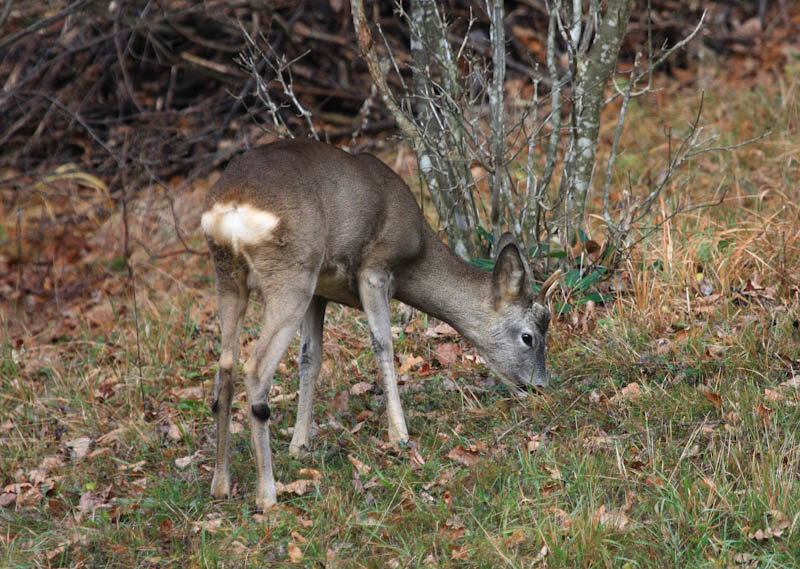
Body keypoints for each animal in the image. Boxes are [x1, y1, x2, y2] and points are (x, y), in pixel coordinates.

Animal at [202, 140, 564, 508]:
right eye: (528, 337)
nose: (539, 386)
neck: (415, 256)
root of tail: (232, 207)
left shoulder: (320, 292)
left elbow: (311, 359)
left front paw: (299, 445)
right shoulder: (374, 269)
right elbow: (383, 343)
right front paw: (400, 435)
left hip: (230, 276)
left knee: (226, 367)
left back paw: (221, 484)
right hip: (291, 273)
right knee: (255, 369)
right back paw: (267, 494)